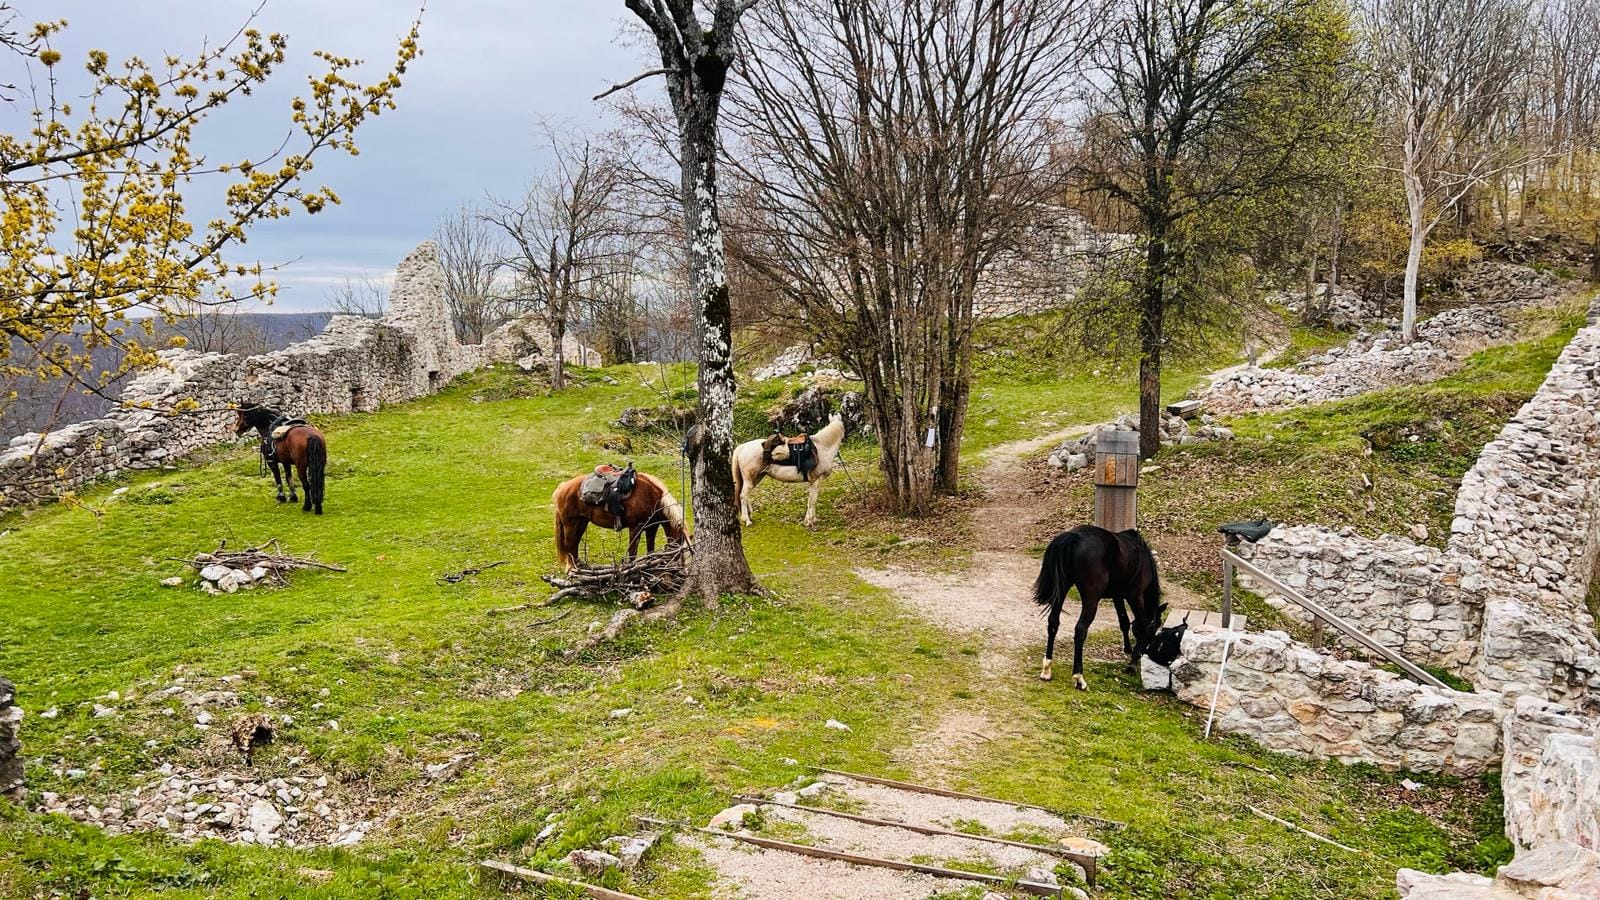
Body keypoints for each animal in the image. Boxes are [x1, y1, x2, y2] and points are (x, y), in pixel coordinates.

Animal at [553, 470, 684, 566]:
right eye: (679, 542)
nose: (679, 564)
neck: (651, 496)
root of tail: (563, 487)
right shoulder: (636, 527)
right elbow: (632, 552)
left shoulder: (652, 526)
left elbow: (650, 549)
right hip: (570, 524)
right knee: (570, 544)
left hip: (581, 523)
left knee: (575, 543)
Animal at [1030, 518, 1171, 685]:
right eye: (1156, 628)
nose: (1146, 651)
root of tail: (1074, 537)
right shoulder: (1135, 596)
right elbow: (1143, 626)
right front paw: (1132, 663)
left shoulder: (1118, 596)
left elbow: (1124, 622)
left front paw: (1128, 649)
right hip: (1092, 597)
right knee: (1081, 629)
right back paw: (1079, 676)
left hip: (1062, 589)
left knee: (1053, 622)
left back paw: (1047, 669)